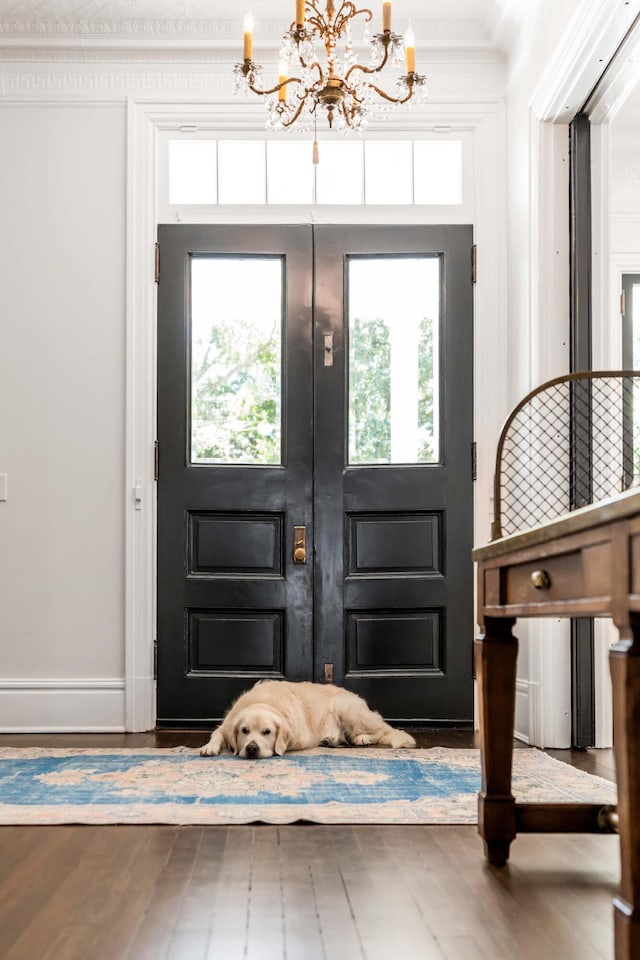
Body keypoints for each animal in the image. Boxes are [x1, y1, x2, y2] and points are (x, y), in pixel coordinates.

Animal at [201, 680, 420, 760]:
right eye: (244, 731)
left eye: (267, 732)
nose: (252, 748)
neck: (264, 702)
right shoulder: (226, 725)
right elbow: (216, 735)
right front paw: (209, 747)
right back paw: (331, 740)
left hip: (349, 711)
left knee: (386, 731)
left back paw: (362, 738)